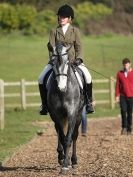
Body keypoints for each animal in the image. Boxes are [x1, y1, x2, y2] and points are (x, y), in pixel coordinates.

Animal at [46, 43, 84, 174]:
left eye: (67, 62)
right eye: (52, 62)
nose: (61, 87)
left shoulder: (72, 114)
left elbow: (68, 139)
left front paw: (66, 165)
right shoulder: (56, 114)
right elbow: (62, 137)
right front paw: (63, 161)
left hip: (78, 116)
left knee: (74, 136)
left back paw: (74, 160)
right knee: (58, 131)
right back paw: (61, 156)